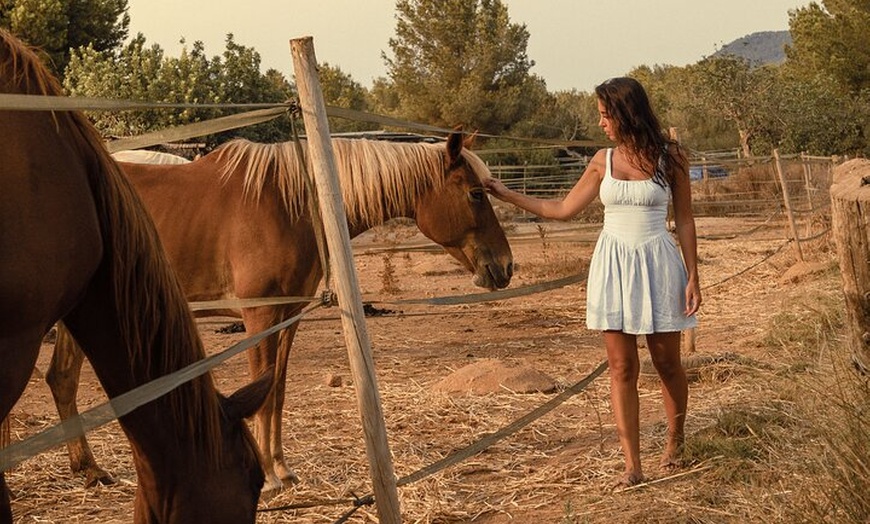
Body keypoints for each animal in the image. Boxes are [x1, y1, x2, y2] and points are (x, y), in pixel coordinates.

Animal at [48, 132, 515, 492]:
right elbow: (261, 389)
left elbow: (276, 391)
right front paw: (268, 476)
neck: (290, 204)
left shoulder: (288, 316)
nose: (506, 267)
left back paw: (89, 471)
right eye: (475, 193)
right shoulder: (259, 317)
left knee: (62, 380)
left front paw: (283, 470)